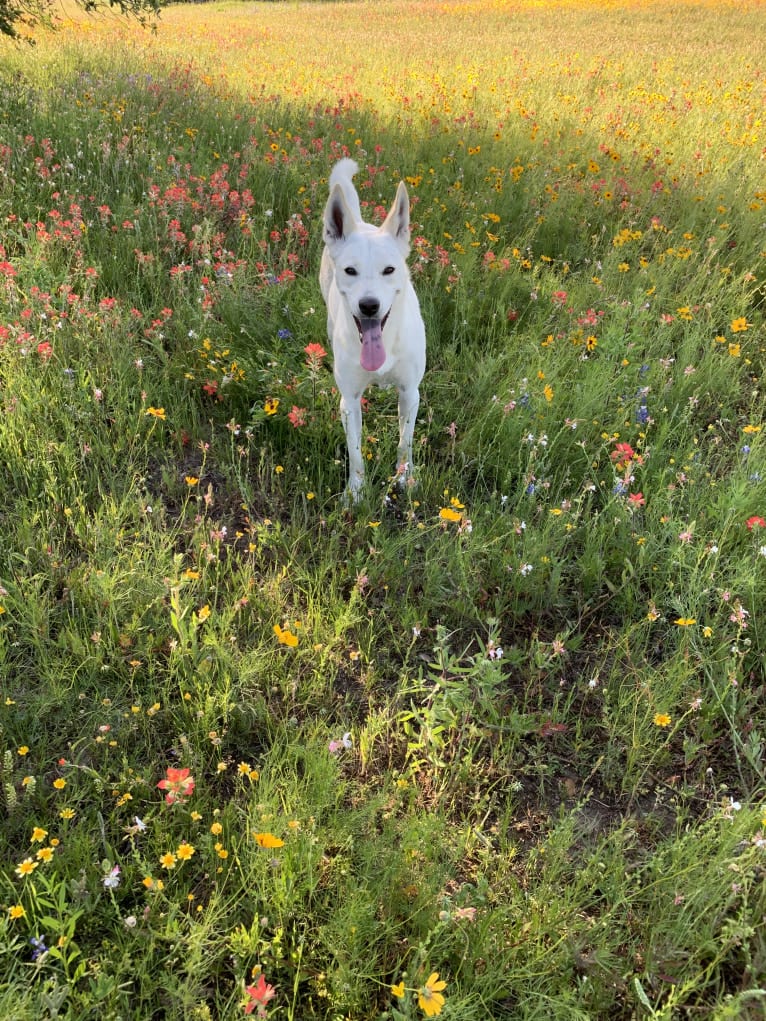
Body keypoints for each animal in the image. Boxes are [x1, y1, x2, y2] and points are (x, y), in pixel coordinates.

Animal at [318, 158, 426, 502]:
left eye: (389, 270)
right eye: (350, 270)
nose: (368, 306)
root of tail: (360, 222)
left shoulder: (410, 392)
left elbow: (405, 443)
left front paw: (404, 478)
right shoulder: (350, 400)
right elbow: (355, 453)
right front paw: (356, 492)